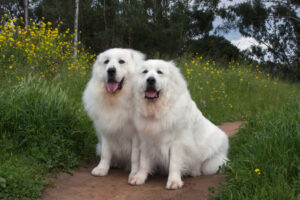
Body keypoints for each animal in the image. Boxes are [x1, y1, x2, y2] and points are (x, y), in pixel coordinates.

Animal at [82, 48, 146, 178]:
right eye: (106, 61)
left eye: (121, 61)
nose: (111, 70)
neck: (117, 99)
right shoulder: (106, 129)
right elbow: (105, 153)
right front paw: (102, 169)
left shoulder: (136, 136)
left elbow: (135, 157)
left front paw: (134, 173)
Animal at [127, 59, 229, 189]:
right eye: (144, 72)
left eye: (159, 72)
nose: (150, 80)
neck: (158, 111)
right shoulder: (146, 140)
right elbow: (144, 162)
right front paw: (139, 177)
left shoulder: (178, 143)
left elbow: (174, 163)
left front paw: (174, 181)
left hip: (210, 165)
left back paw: (194, 172)